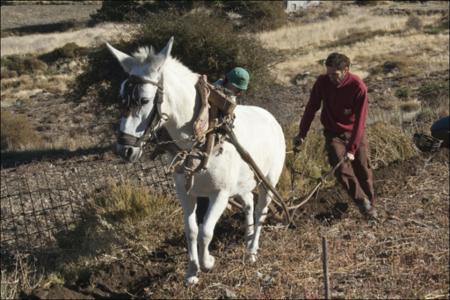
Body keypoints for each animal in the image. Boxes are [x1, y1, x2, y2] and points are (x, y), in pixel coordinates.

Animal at [107, 37, 286, 284]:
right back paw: (248, 238)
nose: (125, 149)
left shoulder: (219, 194)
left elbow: (205, 232)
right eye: (122, 97)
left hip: (268, 180)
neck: (202, 138)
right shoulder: (186, 193)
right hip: (242, 184)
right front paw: (192, 272)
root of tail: (272, 119)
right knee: (249, 203)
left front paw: (208, 262)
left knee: (261, 211)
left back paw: (252, 251)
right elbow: (191, 230)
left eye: (144, 100)